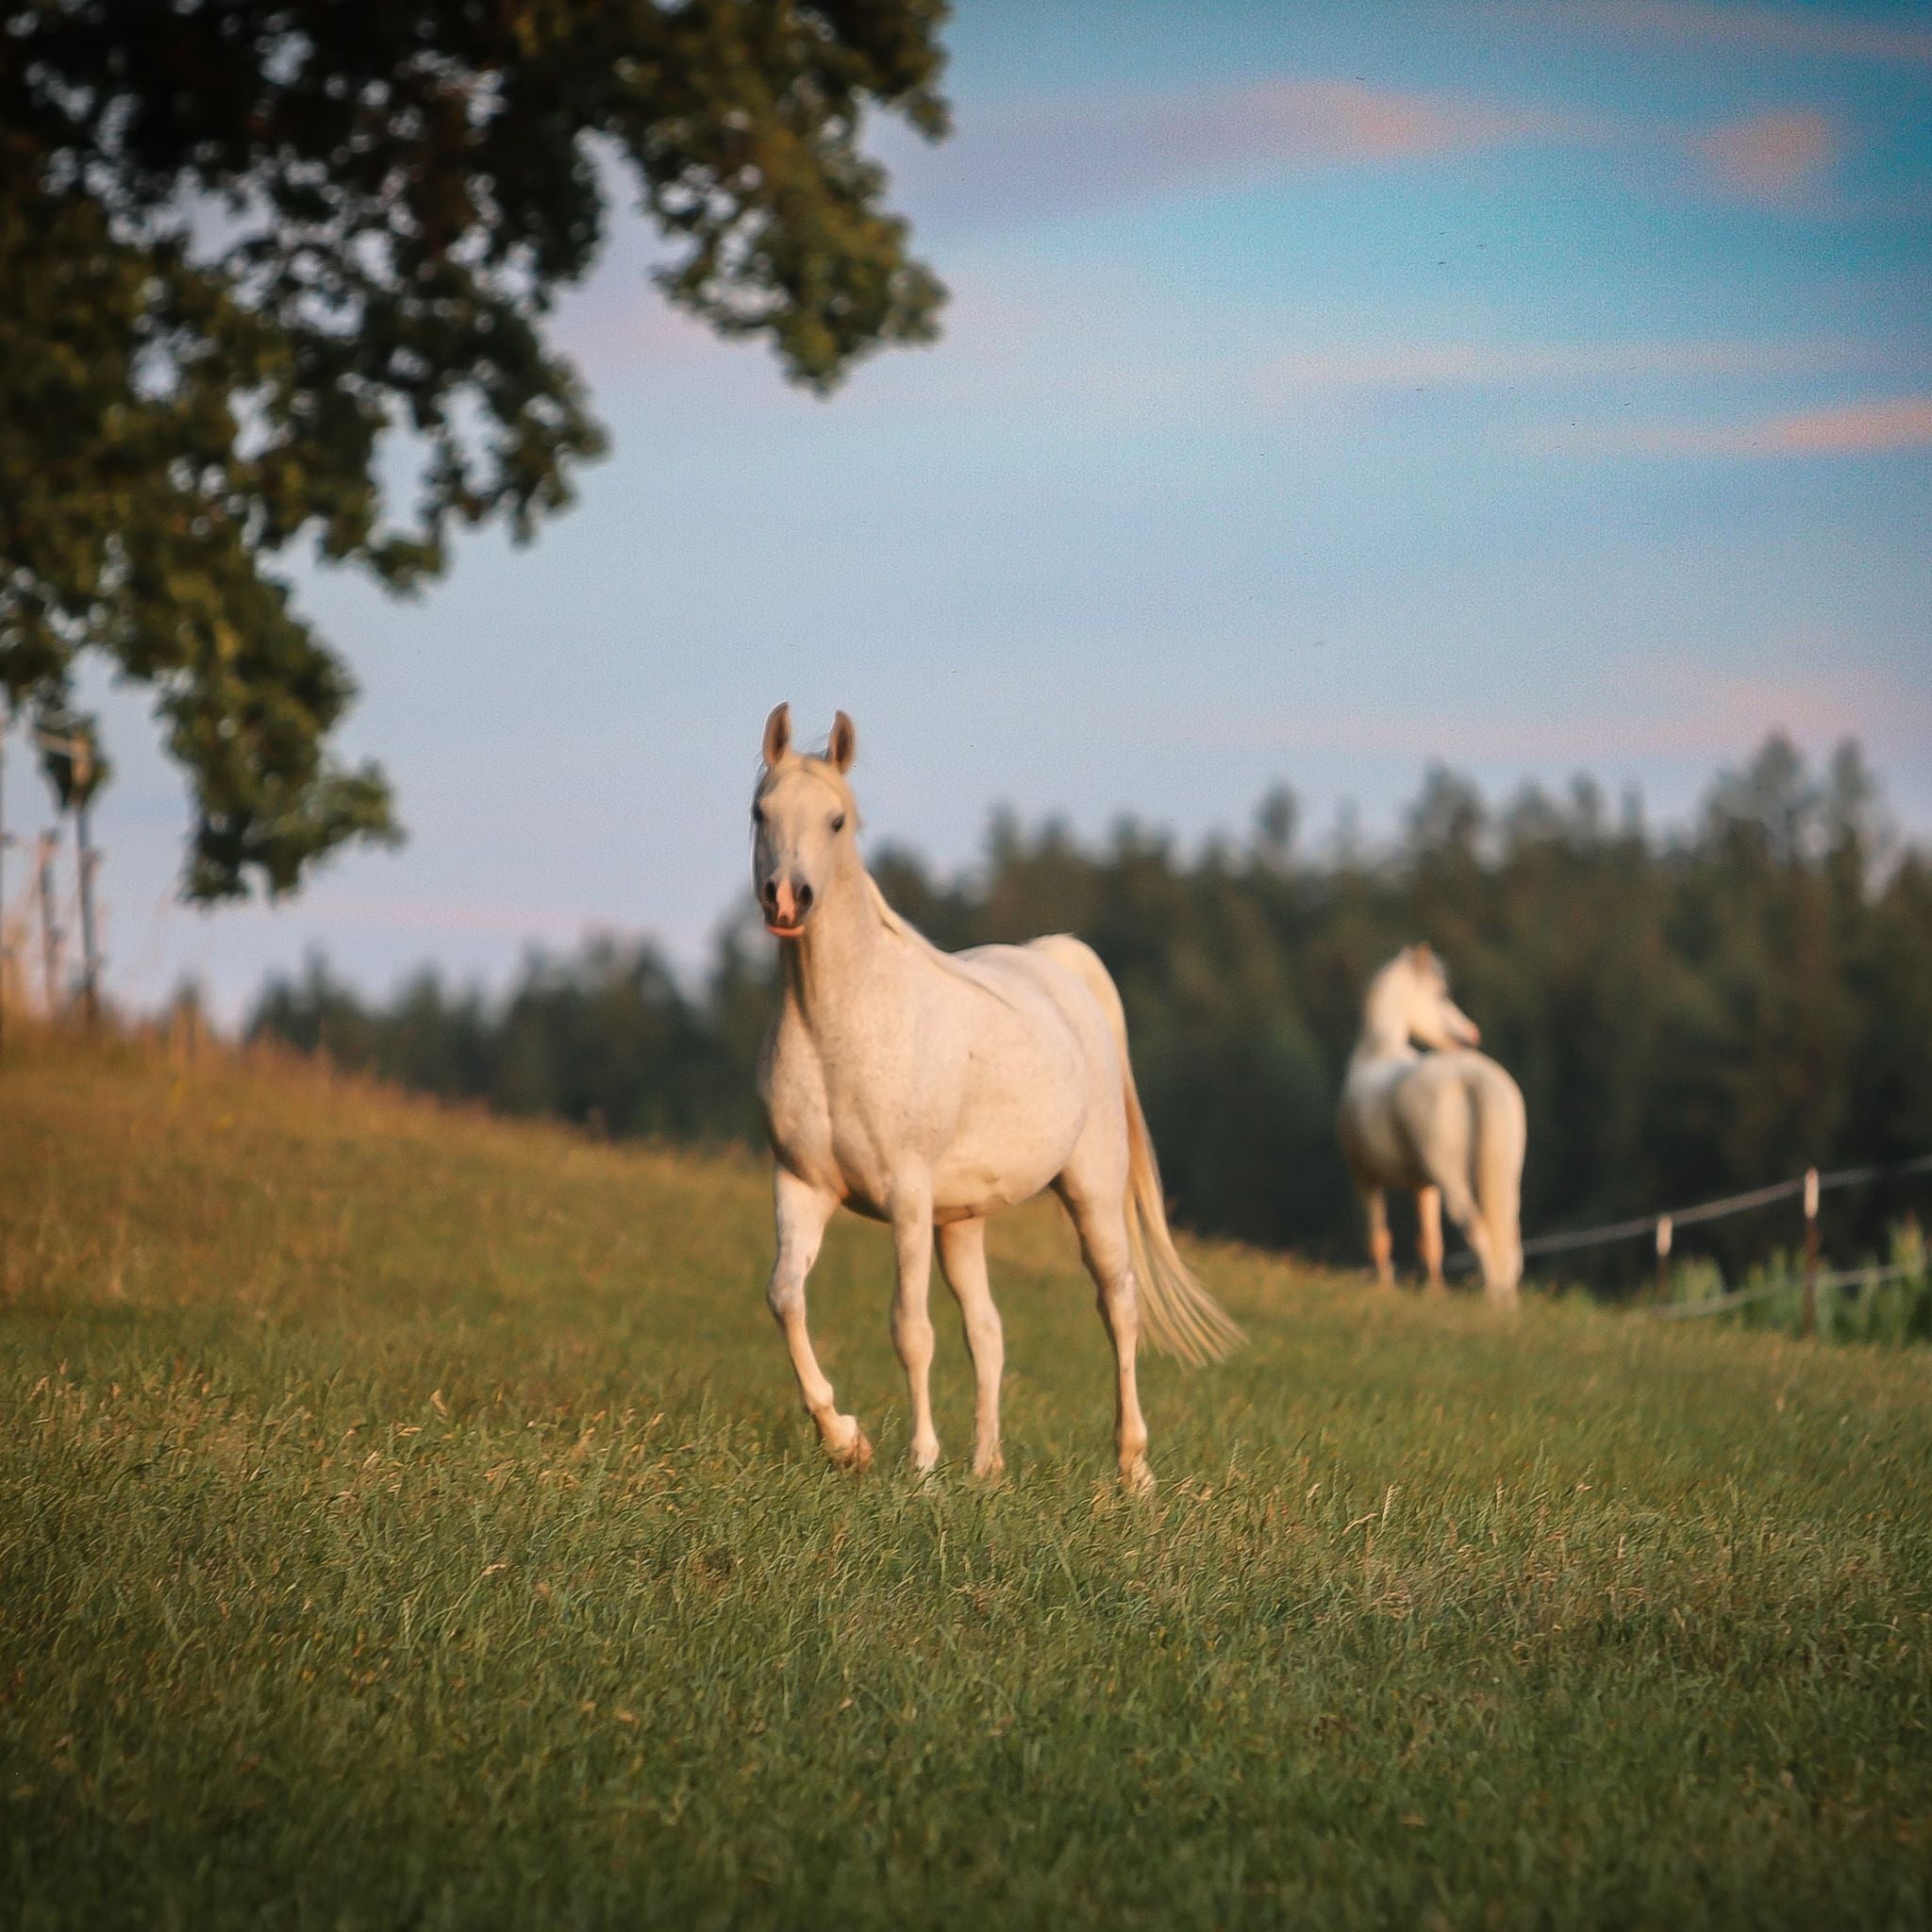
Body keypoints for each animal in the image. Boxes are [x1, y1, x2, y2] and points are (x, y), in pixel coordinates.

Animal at [738, 707, 1236, 1491]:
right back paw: (986, 1468)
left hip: (1090, 1191)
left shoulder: (906, 1196)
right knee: (989, 1329)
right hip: (961, 1221)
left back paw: (1133, 1469)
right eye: (761, 812)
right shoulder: (801, 1185)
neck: (837, 1023)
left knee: (1118, 1305)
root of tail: (1060, 967)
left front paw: (918, 1465)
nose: (787, 899)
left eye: (837, 820)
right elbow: (786, 1298)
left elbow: (909, 1329)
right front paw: (846, 1441)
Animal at [1329, 946, 1522, 1298]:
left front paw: (1386, 1289)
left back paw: (1492, 1298)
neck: (1378, 1051)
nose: (1472, 1033)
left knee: (1477, 1227)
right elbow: (1431, 1243)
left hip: (1449, 1177)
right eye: (1441, 994)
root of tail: (1469, 1076)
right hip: (1503, 1175)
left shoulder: (1365, 1178)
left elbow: (1380, 1238)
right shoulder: (1424, 1187)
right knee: (1508, 1237)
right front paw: (1435, 1295)